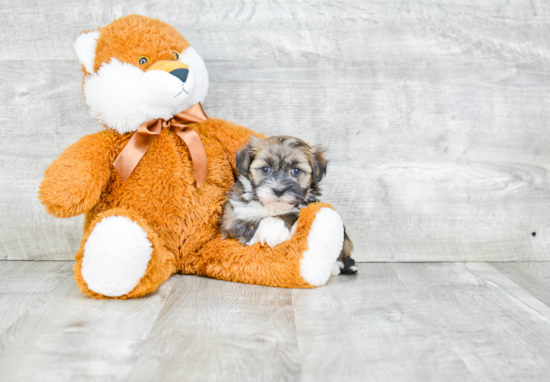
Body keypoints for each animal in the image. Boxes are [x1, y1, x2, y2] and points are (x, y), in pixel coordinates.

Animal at [220, 134, 358, 274]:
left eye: (296, 171)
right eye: (265, 169)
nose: (279, 190)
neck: (273, 208)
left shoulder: (308, 204)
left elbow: (293, 212)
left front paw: (273, 227)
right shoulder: (231, 216)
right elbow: (242, 225)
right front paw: (253, 236)